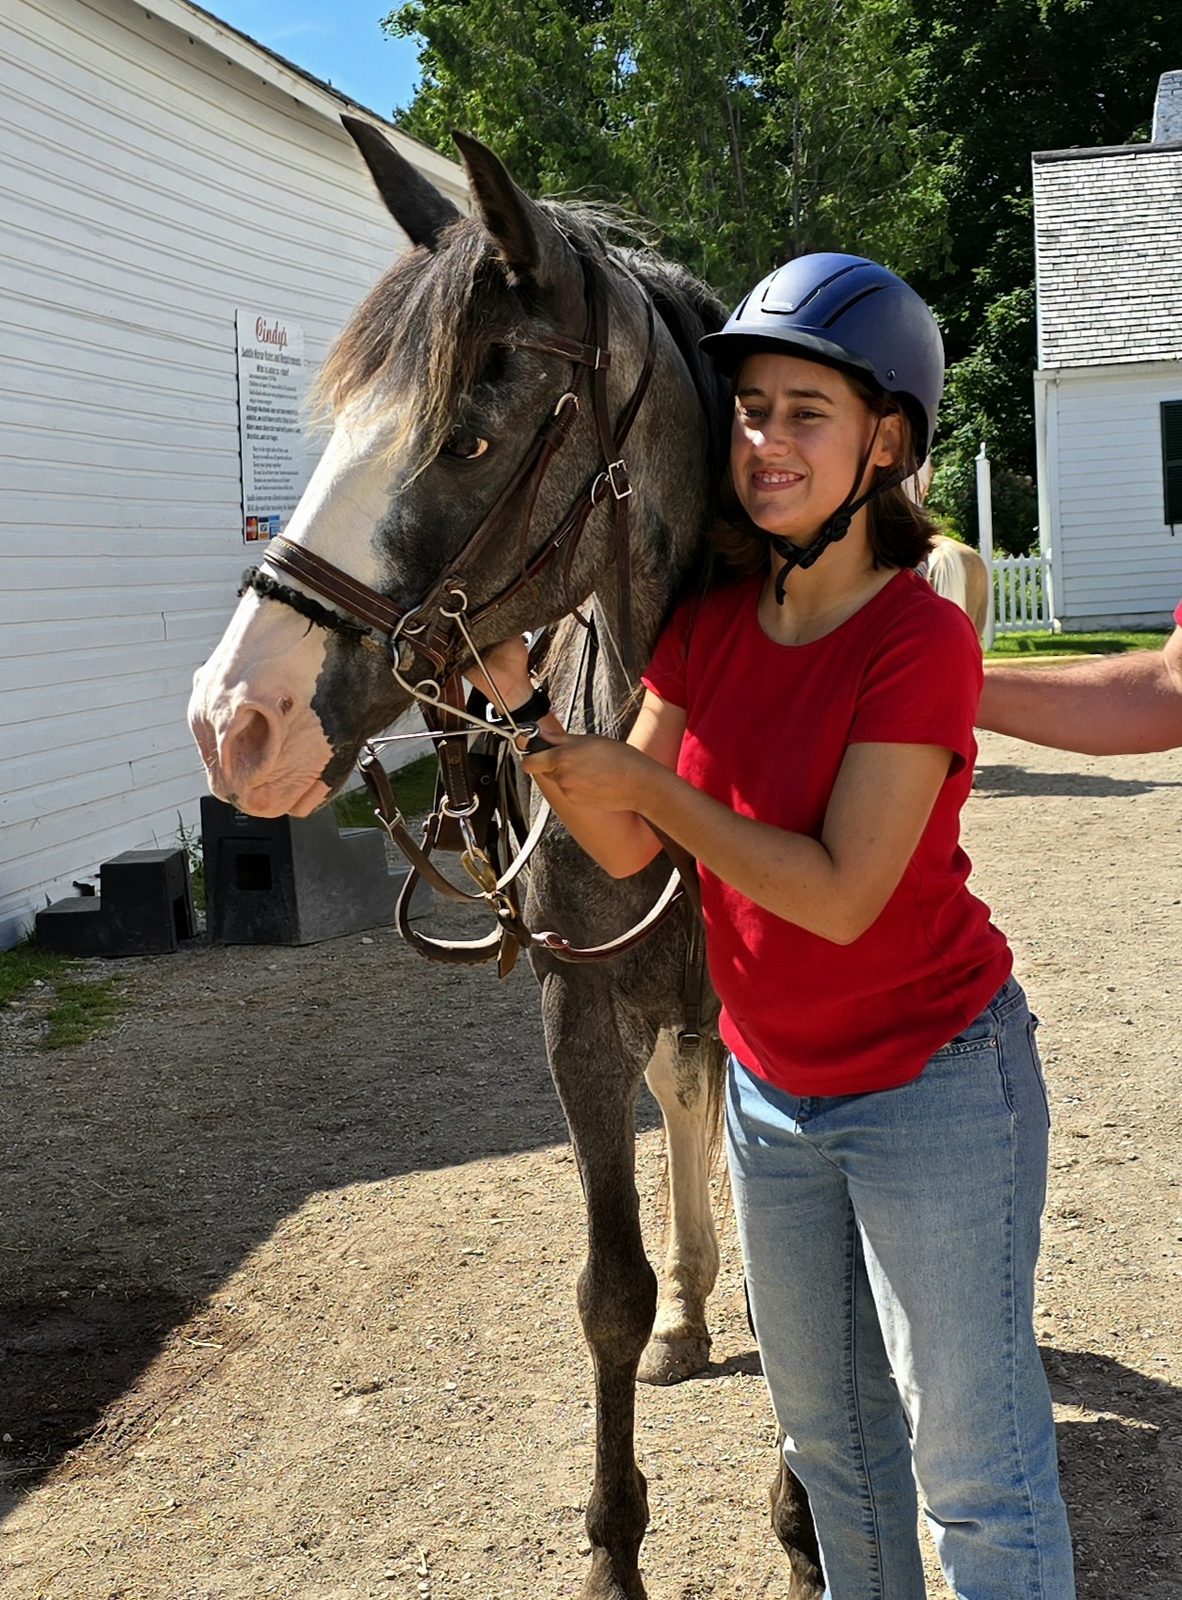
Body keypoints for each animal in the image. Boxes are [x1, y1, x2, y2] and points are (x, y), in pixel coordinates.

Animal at [189, 123, 824, 1600]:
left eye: (468, 438)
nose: (235, 717)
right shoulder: (576, 1006)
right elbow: (609, 1292)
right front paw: (614, 1552)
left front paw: (806, 1526)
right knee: (679, 1109)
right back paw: (692, 1316)